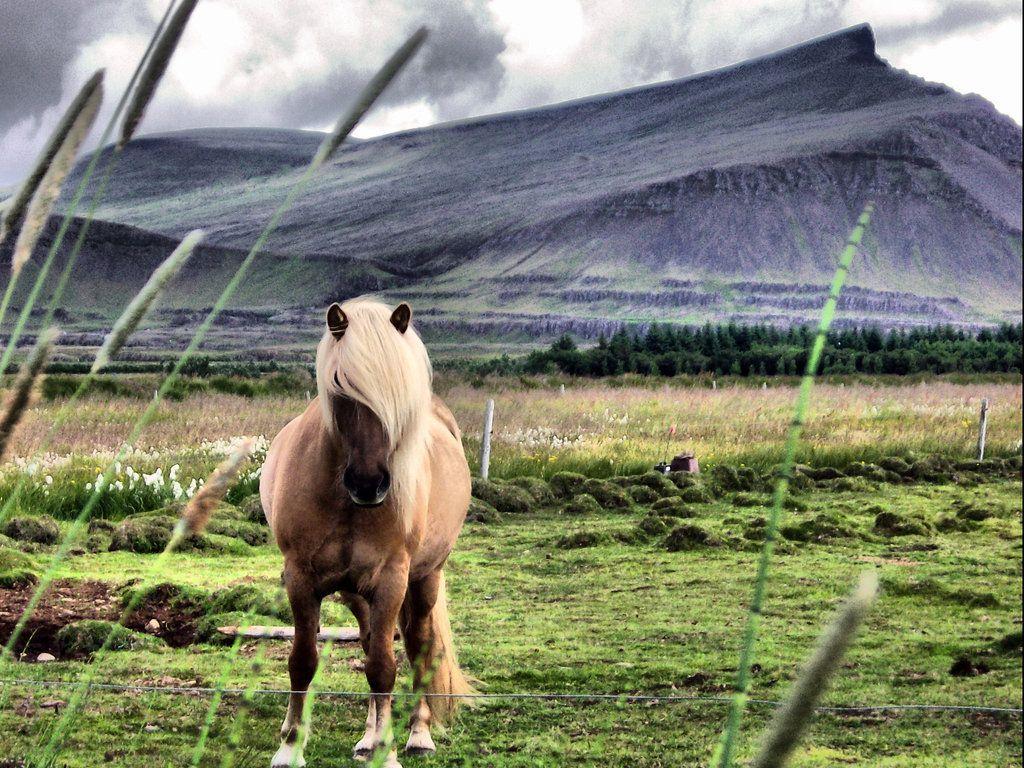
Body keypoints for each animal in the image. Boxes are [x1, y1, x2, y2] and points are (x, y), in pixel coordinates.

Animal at [259, 297, 475, 768]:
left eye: (401, 394)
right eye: (341, 383)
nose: (369, 483)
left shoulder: (392, 579)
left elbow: (384, 668)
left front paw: (389, 753)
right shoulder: (301, 578)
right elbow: (303, 660)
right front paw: (290, 747)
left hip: (424, 579)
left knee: (417, 648)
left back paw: (416, 734)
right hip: (355, 592)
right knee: (370, 642)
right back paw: (368, 734)